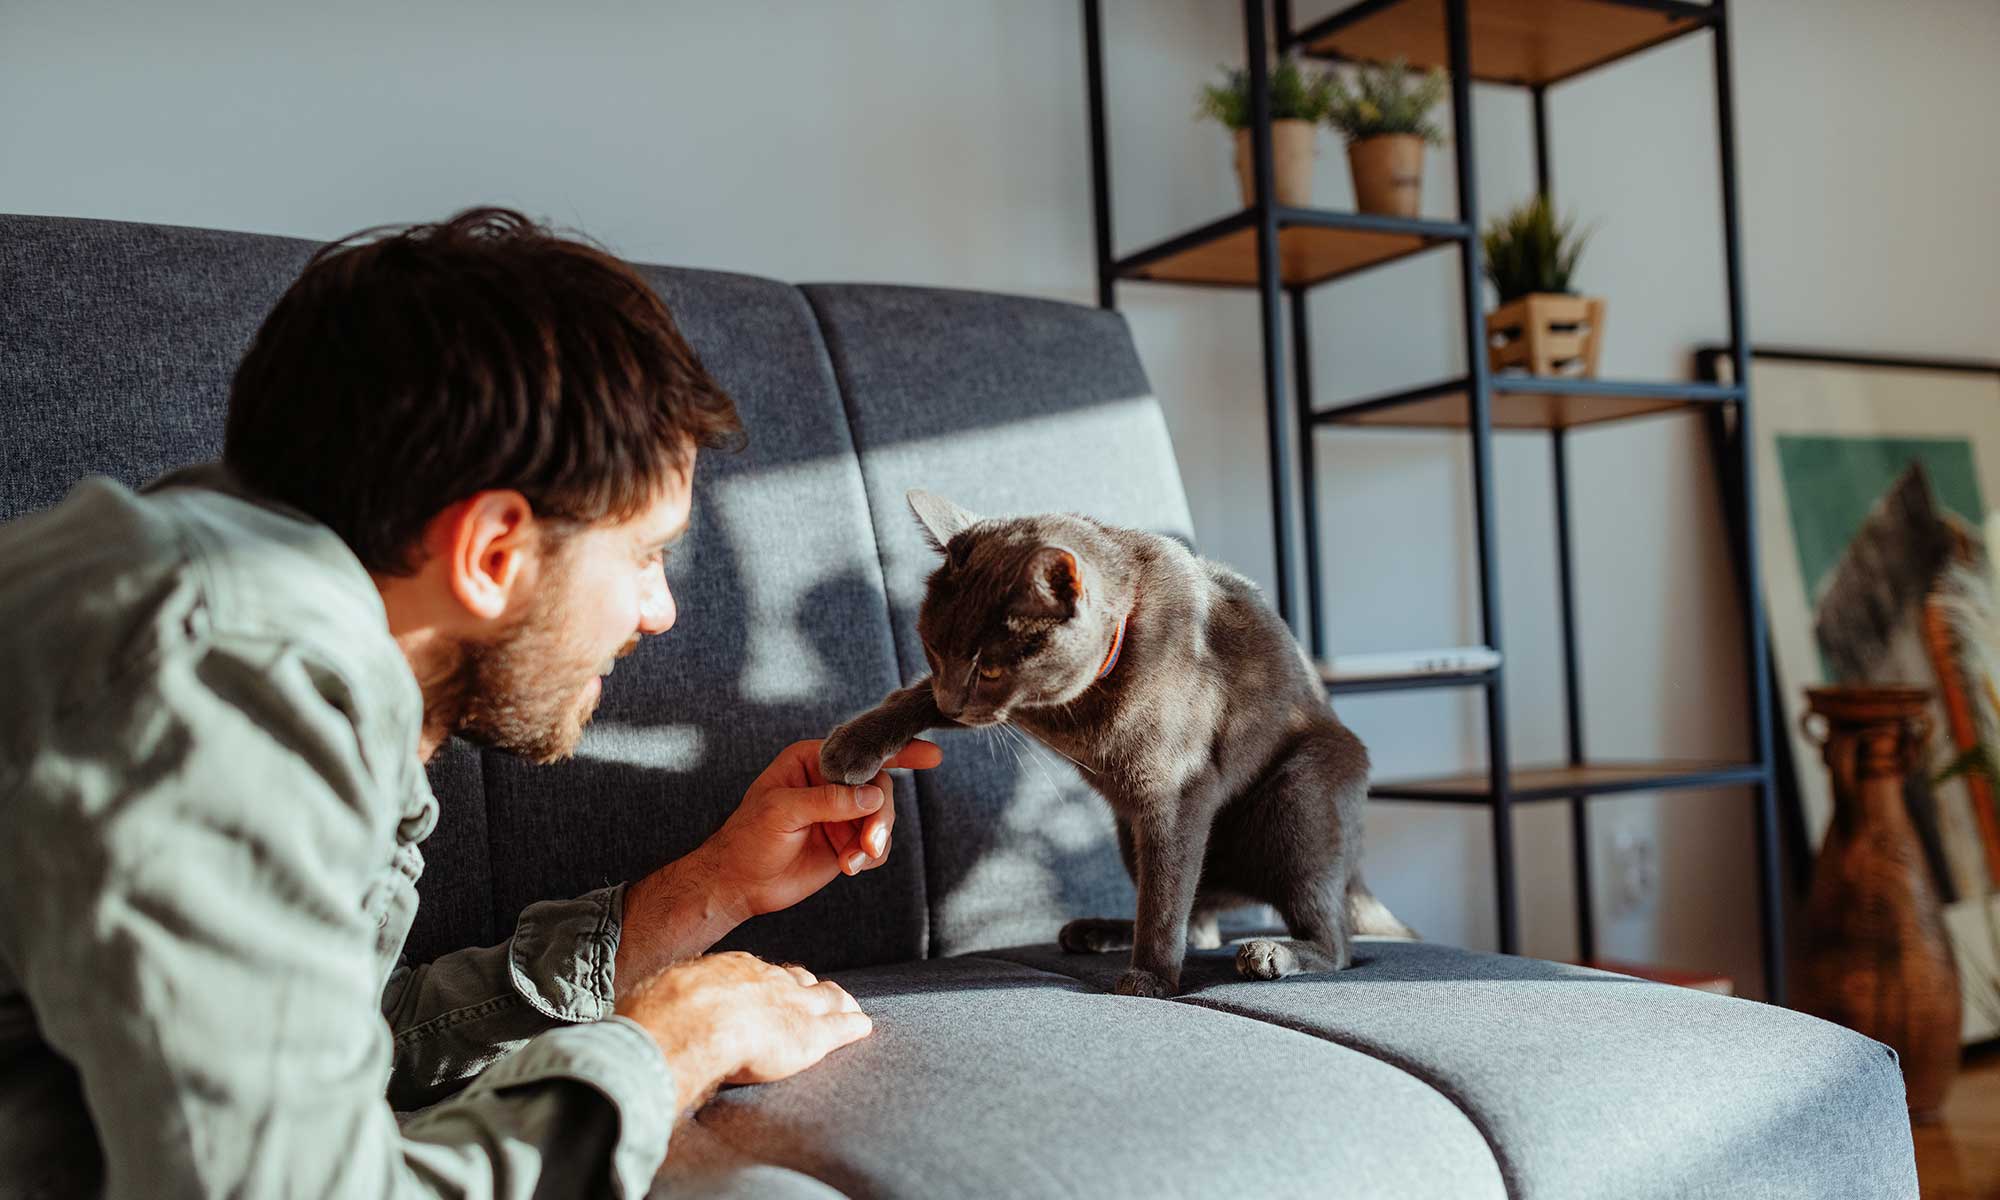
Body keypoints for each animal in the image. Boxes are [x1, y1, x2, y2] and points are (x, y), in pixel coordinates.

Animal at [820, 492, 1416, 1000]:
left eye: (988, 668)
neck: (1073, 707)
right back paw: (1099, 930)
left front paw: (1150, 979)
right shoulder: (1006, 712)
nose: (953, 698)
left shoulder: (1177, 794)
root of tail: (1355, 870)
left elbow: (1166, 894)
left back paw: (1270, 952)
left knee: (1330, 941)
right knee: (1197, 918)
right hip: (1128, 831)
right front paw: (849, 747)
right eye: (933, 649)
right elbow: (915, 696)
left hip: (1299, 797)